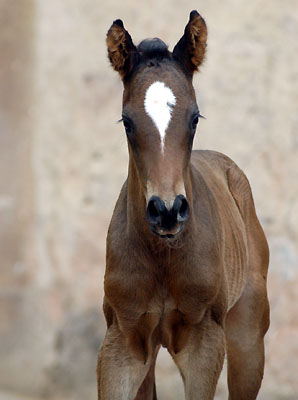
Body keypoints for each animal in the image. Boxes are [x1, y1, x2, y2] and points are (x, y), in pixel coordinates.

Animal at [98, 10, 270, 398]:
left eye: (194, 117)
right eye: (127, 121)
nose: (167, 211)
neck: (164, 255)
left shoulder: (203, 342)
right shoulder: (122, 341)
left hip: (248, 336)